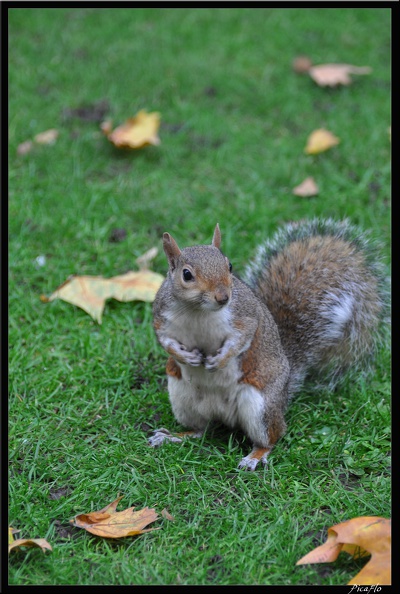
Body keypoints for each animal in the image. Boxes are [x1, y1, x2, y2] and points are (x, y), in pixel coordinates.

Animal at [148, 217, 390, 468]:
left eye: (229, 265)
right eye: (186, 275)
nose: (223, 297)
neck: (198, 311)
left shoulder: (245, 316)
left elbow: (242, 338)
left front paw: (220, 359)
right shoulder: (161, 320)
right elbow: (165, 342)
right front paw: (187, 356)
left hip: (260, 407)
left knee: (272, 437)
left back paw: (254, 457)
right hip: (182, 398)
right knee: (201, 429)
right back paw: (173, 436)